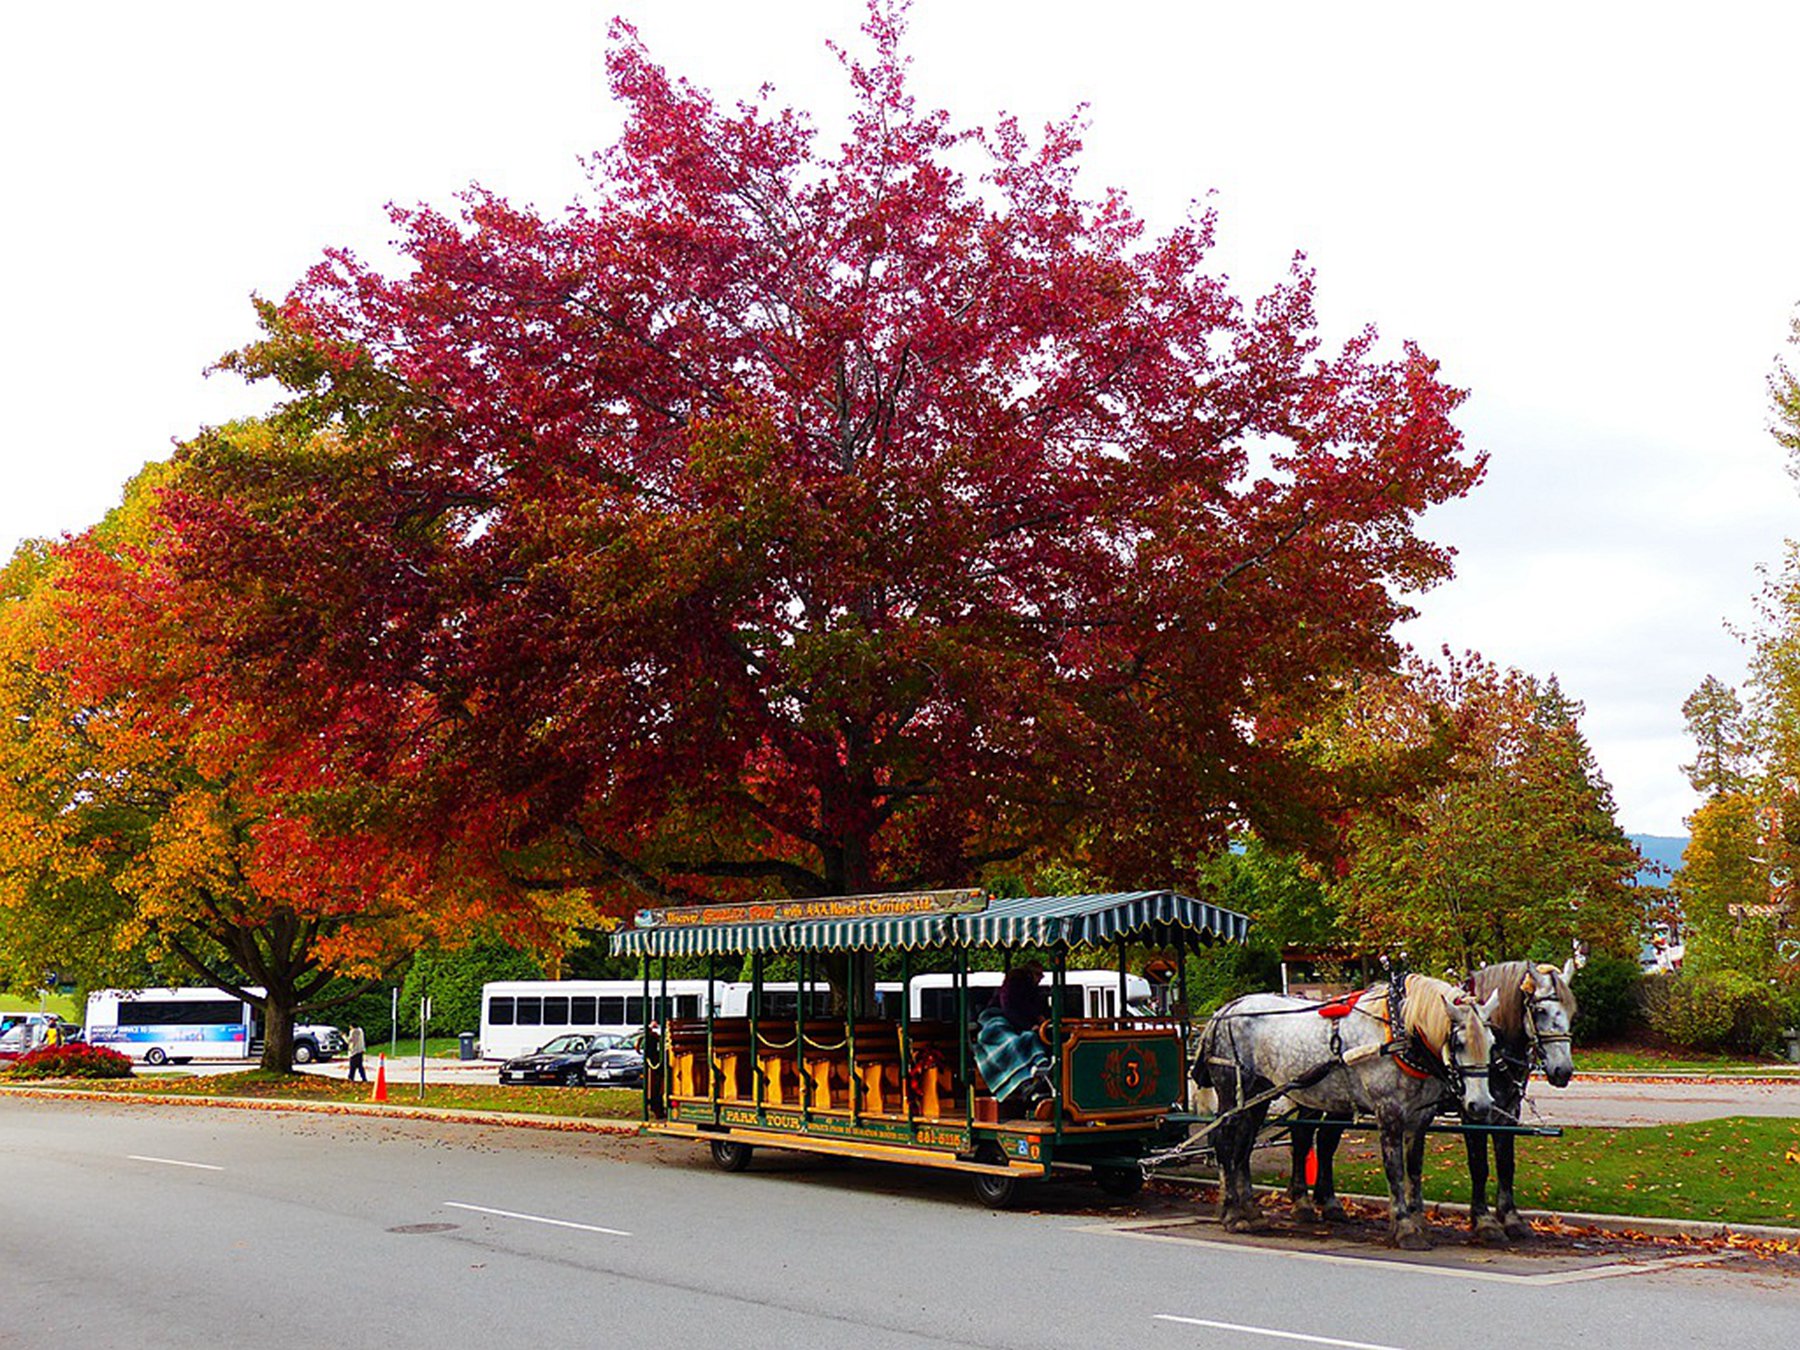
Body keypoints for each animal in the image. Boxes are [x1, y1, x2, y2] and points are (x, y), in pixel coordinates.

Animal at [1195, 979, 1504, 1252]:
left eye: (1492, 1043)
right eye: (1459, 1042)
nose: (1480, 1105)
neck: (1399, 1031)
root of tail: (1226, 1010)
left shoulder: (1420, 1118)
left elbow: (1414, 1169)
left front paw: (1418, 1221)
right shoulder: (1389, 1112)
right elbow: (1395, 1170)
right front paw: (1404, 1227)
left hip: (1259, 1097)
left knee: (1244, 1147)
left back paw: (1250, 1210)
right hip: (1231, 1094)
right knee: (1225, 1144)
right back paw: (1232, 1212)